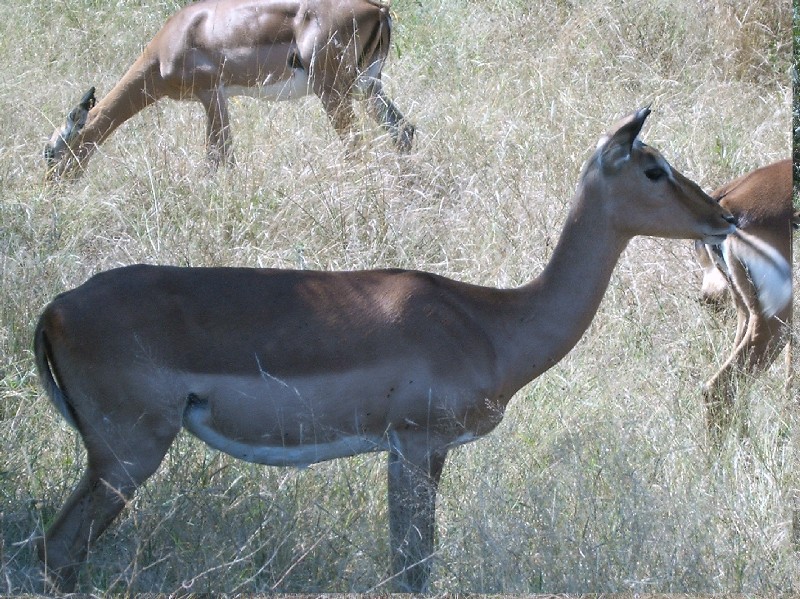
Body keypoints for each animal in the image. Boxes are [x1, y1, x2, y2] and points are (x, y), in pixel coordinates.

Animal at [34, 108, 736, 592]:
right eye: (654, 168)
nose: (724, 218)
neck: (490, 321)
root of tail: (56, 307)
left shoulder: (422, 454)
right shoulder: (414, 444)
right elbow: (412, 569)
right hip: (127, 455)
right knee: (56, 550)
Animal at [43, 0, 414, 180]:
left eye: (50, 153)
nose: (50, 190)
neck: (170, 45)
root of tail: (379, 8)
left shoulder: (211, 95)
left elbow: (218, 157)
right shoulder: (219, 98)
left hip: (334, 91)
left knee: (356, 146)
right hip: (367, 86)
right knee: (403, 129)